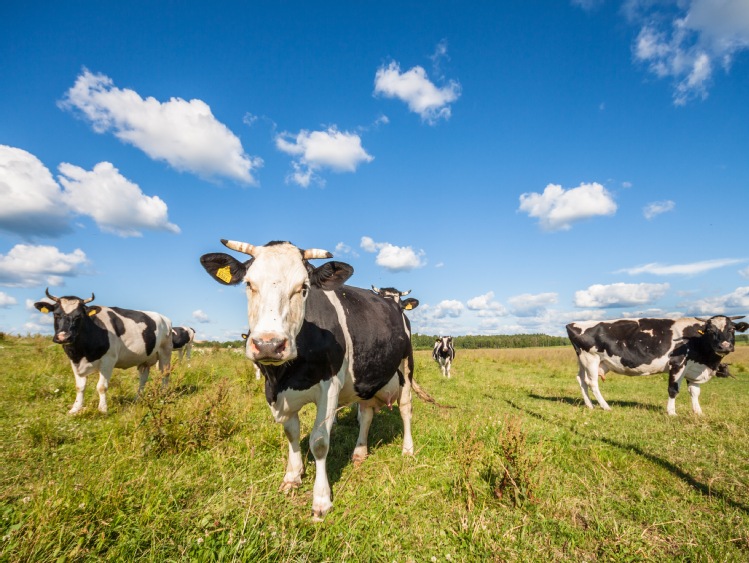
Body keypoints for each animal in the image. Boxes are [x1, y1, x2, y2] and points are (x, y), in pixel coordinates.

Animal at [34, 290, 172, 414]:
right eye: (56, 314)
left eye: (79, 316)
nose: (64, 337)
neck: (82, 352)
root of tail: (164, 318)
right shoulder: (74, 361)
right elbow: (80, 387)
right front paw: (75, 408)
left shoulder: (108, 360)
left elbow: (101, 386)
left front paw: (102, 409)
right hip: (145, 358)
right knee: (143, 377)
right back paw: (137, 398)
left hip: (165, 351)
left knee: (165, 373)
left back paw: (163, 395)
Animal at [199, 240, 430, 524]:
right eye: (249, 284)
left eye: (303, 287)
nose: (268, 344)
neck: (285, 375)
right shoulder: (274, 390)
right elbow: (291, 433)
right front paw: (292, 476)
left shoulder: (329, 386)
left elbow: (319, 442)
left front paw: (321, 499)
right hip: (366, 377)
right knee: (366, 415)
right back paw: (360, 452)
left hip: (406, 364)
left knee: (406, 408)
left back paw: (407, 450)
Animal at [568, 316, 748, 416]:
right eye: (710, 330)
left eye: (732, 329)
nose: (724, 346)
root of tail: (574, 324)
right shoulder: (678, 363)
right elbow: (673, 389)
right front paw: (672, 412)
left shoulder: (693, 368)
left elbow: (695, 392)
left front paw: (698, 412)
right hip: (590, 358)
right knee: (592, 383)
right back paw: (605, 406)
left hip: (584, 361)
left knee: (581, 380)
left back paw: (590, 405)